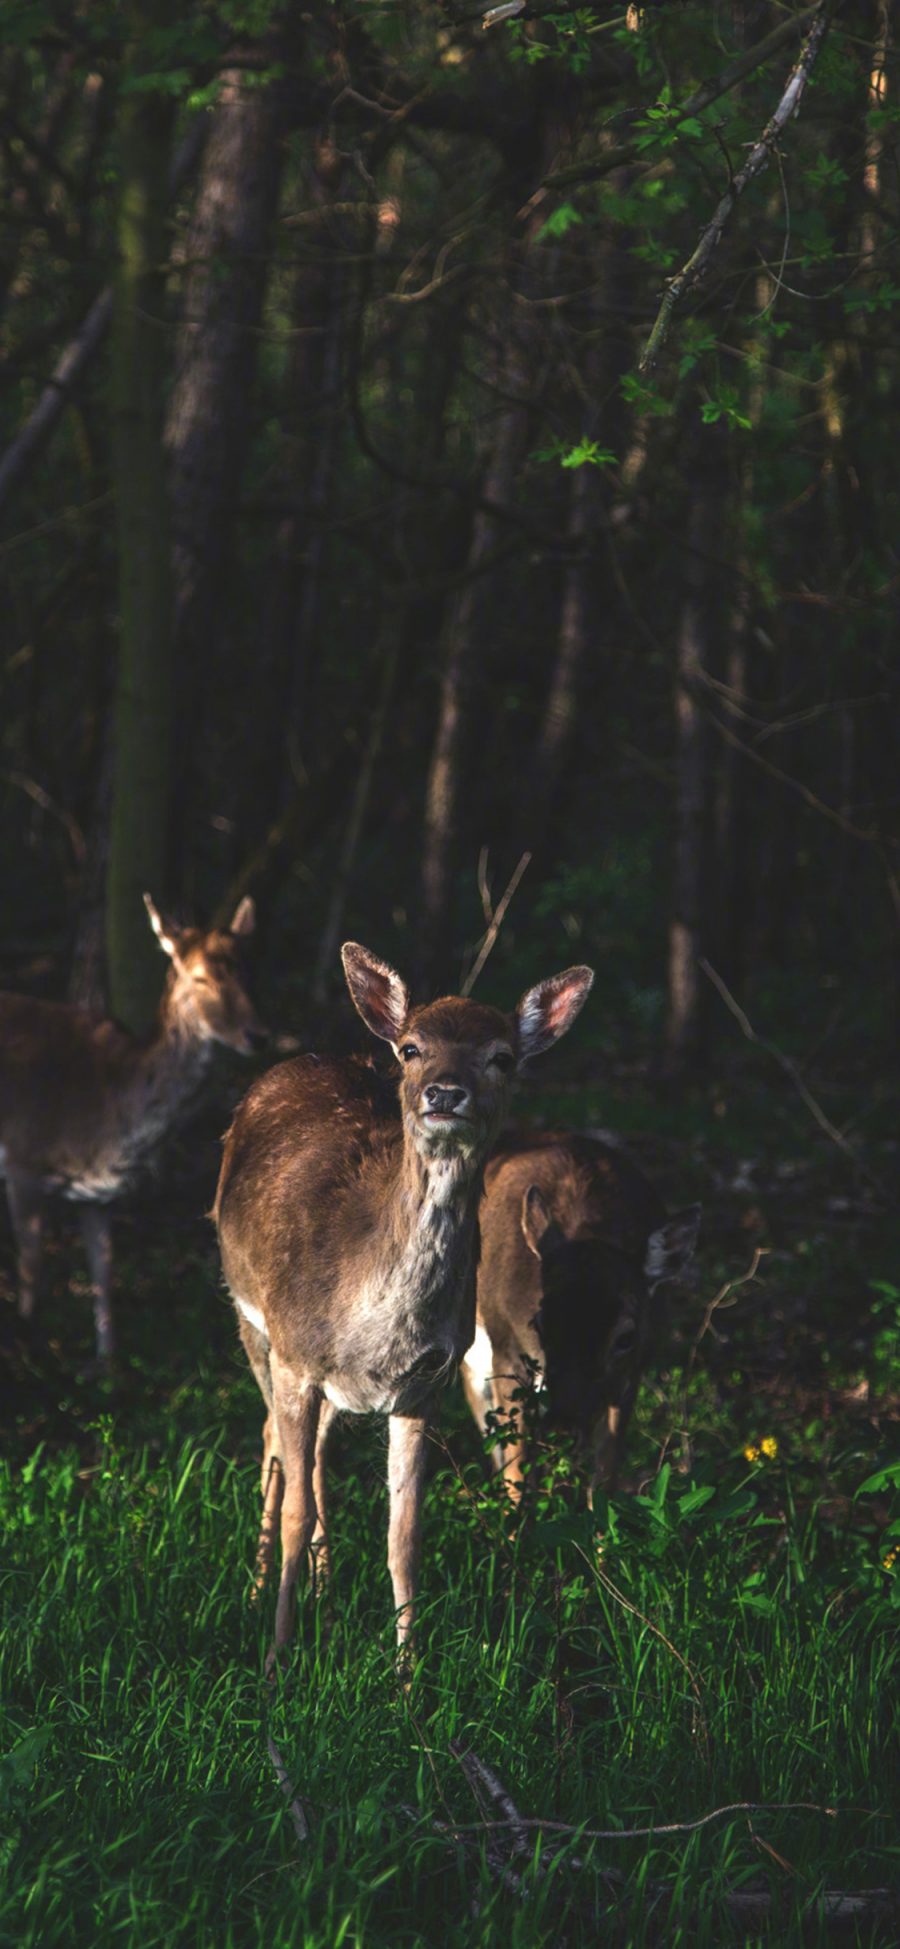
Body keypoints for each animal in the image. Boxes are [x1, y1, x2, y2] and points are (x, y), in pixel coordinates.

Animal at [0, 892, 266, 1364]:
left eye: (249, 970)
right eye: (199, 978)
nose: (258, 1035)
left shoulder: (98, 1196)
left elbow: (103, 1272)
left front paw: (108, 1364)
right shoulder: (21, 1162)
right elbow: (31, 1269)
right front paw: (31, 1352)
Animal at [210, 943, 592, 1660]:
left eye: (502, 1055)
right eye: (413, 1048)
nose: (445, 1091)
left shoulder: (425, 1387)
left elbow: (405, 1536)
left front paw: (407, 1672)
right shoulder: (296, 1355)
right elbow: (297, 1508)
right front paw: (276, 1662)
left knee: (316, 1455)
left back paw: (328, 1600)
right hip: (252, 1320)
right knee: (274, 1443)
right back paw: (255, 1592)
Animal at [463, 1130, 701, 1489]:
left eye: (626, 1338)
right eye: (539, 1322)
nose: (560, 1429)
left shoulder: (633, 1371)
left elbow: (605, 1473)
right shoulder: (506, 1348)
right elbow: (516, 1469)